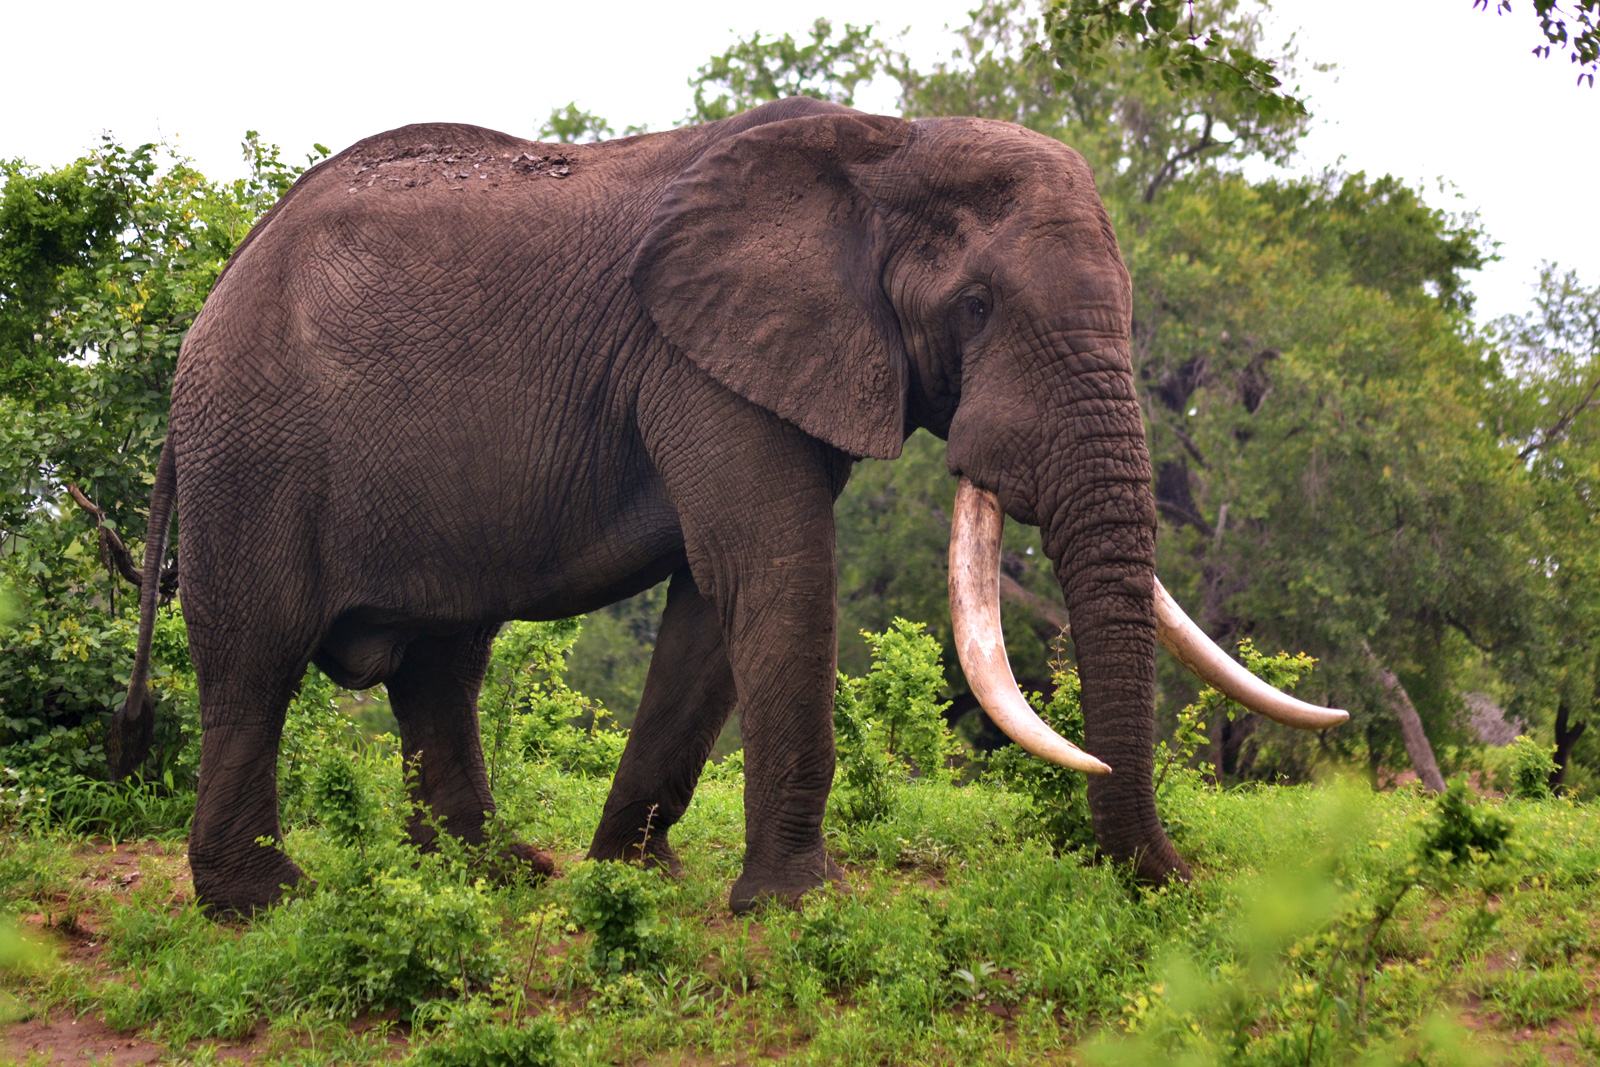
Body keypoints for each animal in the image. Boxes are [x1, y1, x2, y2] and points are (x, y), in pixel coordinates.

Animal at [106, 99, 1344, 915]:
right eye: (978, 306)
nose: (1167, 881)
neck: (883, 145)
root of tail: (211, 298)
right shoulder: (702, 360)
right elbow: (776, 568)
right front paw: (796, 906)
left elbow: (718, 600)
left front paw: (631, 874)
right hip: (251, 447)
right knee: (257, 658)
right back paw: (261, 901)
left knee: (439, 663)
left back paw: (495, 872)